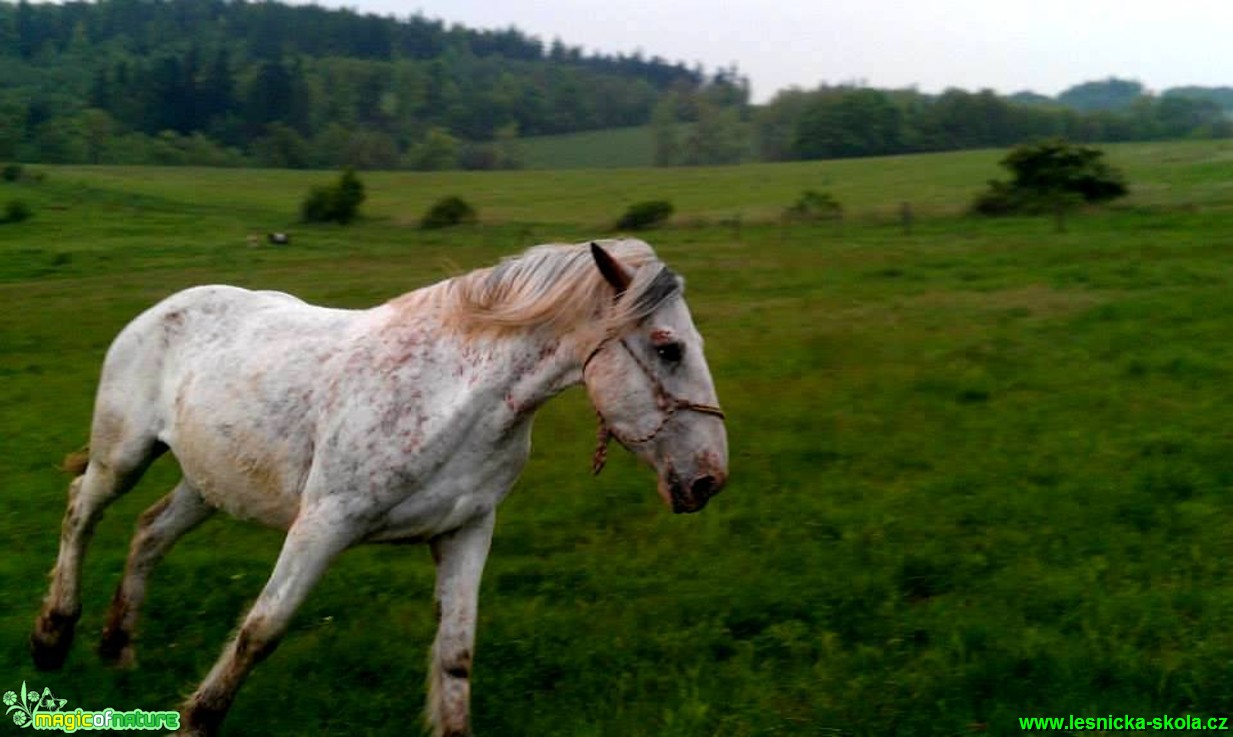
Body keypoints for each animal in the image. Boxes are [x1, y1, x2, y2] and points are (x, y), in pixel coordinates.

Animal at [28, 240, 725, 734]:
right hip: (124, 453)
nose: (709, 479)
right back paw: (51, 638)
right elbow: (261, 630)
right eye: (667, 348)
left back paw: (118, 651)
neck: (455, 396)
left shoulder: (466, 531)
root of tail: (163, 309)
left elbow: (455, 655)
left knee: (148, 532)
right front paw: (195, 721)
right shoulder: (324, 522)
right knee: (80, 511)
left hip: (209, 483)